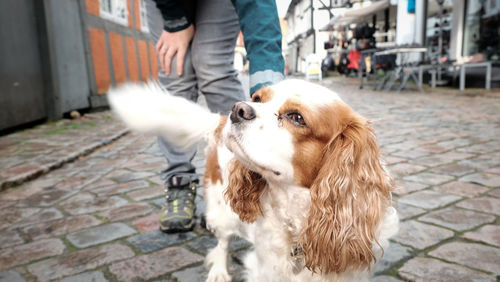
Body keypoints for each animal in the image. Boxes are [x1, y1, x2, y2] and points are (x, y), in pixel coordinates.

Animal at [108, 79, 398, 282]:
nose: (238, 108)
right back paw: (219, 271)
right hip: (221, 210)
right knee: (222, 241)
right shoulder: (265, 269)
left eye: (296, 117)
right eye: (257, 98)